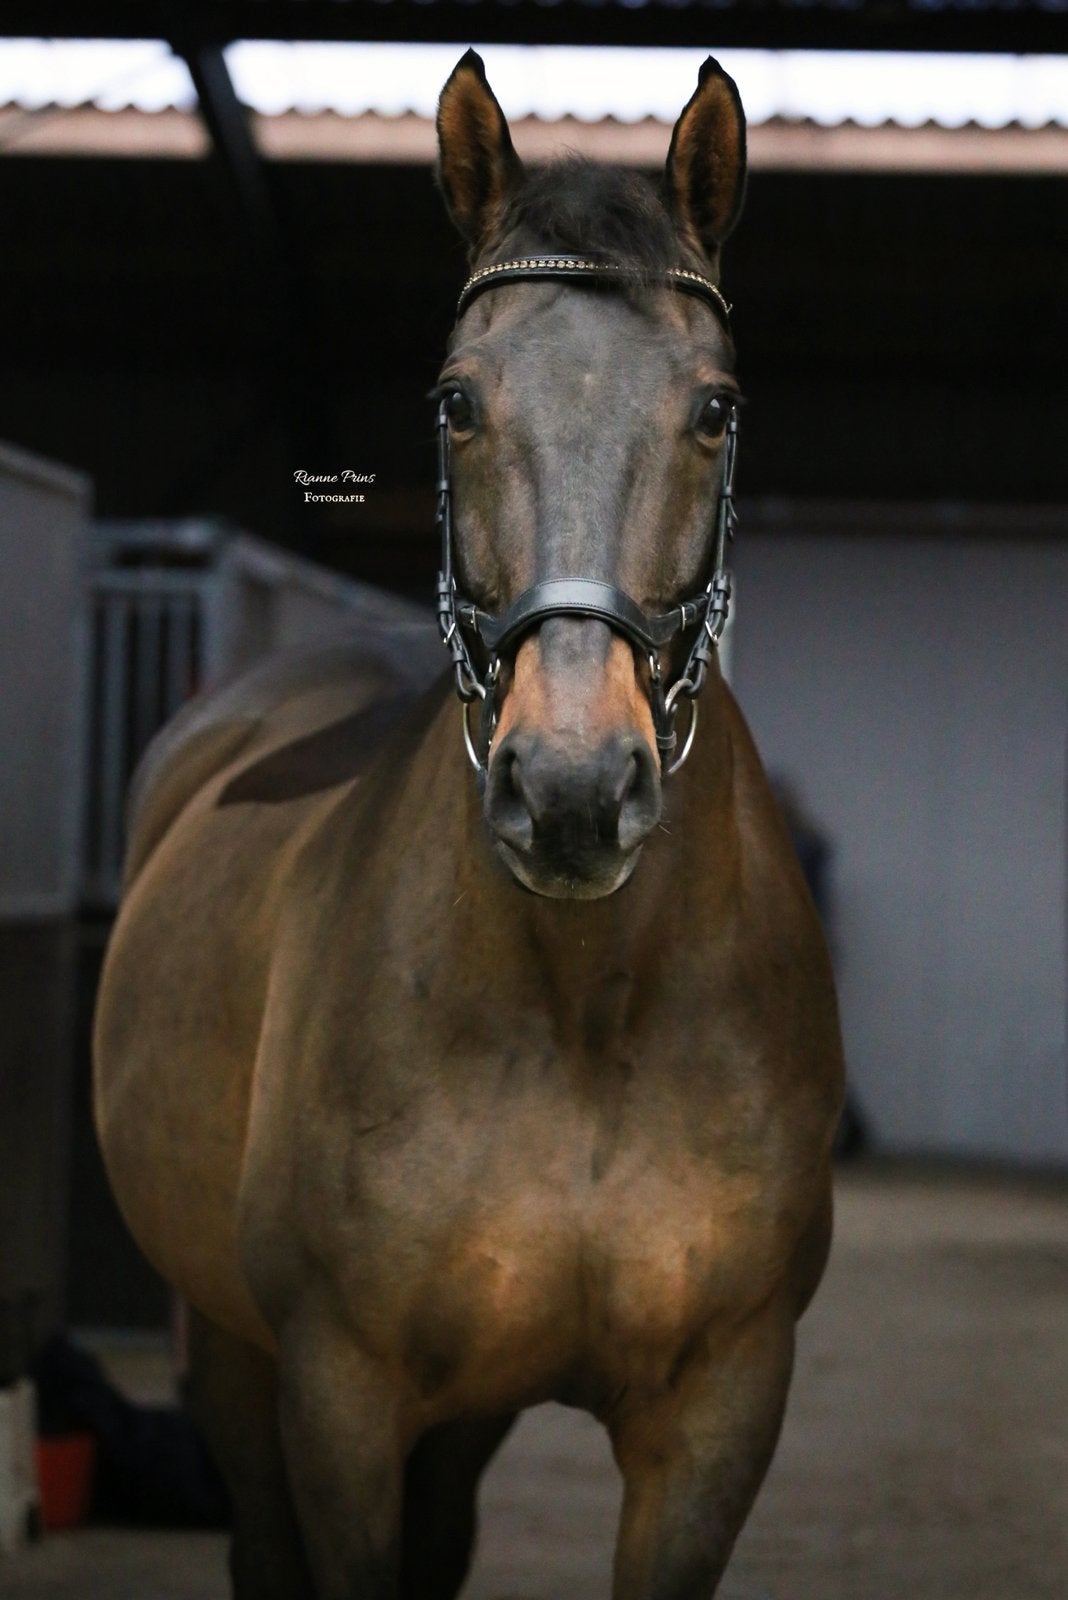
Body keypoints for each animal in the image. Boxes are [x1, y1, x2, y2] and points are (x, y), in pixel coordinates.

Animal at [94, 51, 844, 1600]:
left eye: (715, 409)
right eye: (455, 401)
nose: (570, 791)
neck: (585, 1013)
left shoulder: (720, 1409)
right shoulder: (340, 1394)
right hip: (235, 1357)